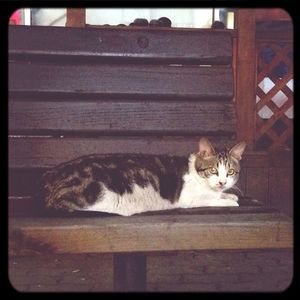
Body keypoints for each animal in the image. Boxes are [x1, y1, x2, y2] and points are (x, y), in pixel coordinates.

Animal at [40, 138, 246, 216]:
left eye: (230, 172)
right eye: (213, 170)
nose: (222, 182)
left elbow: (222, 194)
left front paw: (229, 194)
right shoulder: (188, 199)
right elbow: (213, 199)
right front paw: (230, 201)